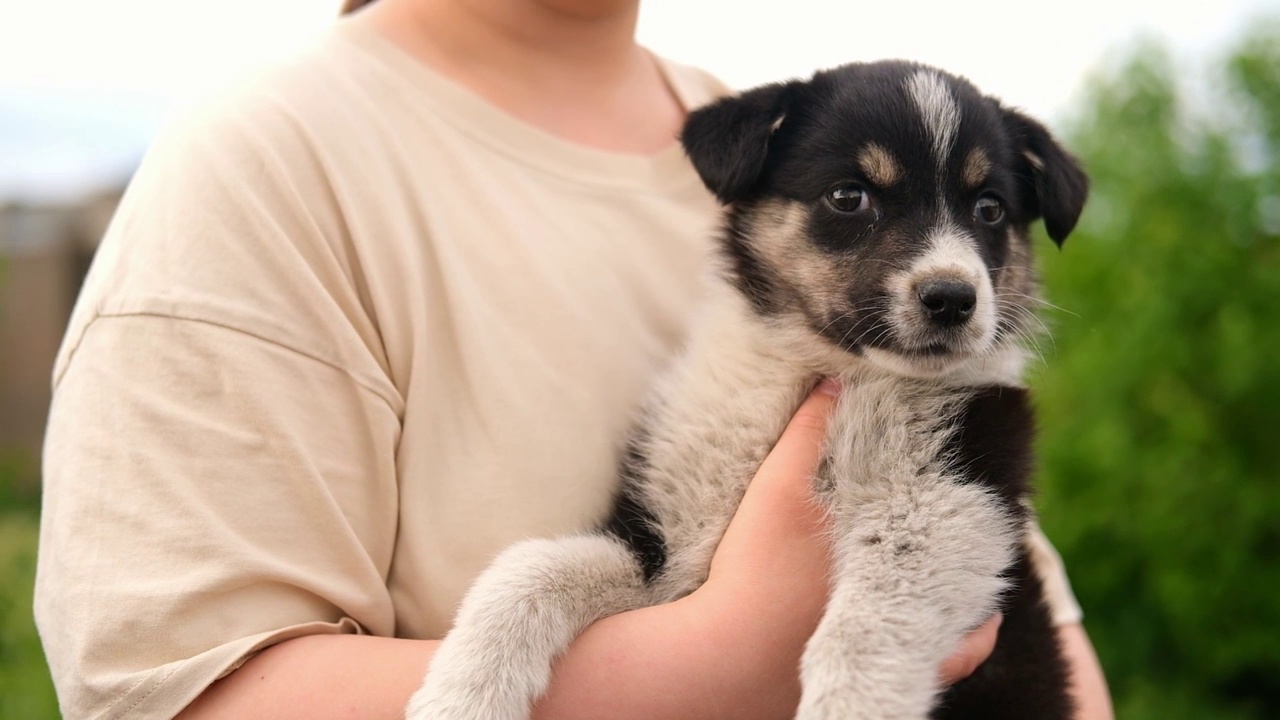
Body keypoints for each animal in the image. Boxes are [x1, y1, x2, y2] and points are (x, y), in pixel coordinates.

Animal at [409, 60, 1090, 717]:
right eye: (849, 196)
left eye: (990, 209)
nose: (952, 298)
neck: (815, 365)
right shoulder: (659, 540)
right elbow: (532, 567)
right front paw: (462, 692)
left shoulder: (954, 488)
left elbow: (872, 622)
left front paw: (848, 704)